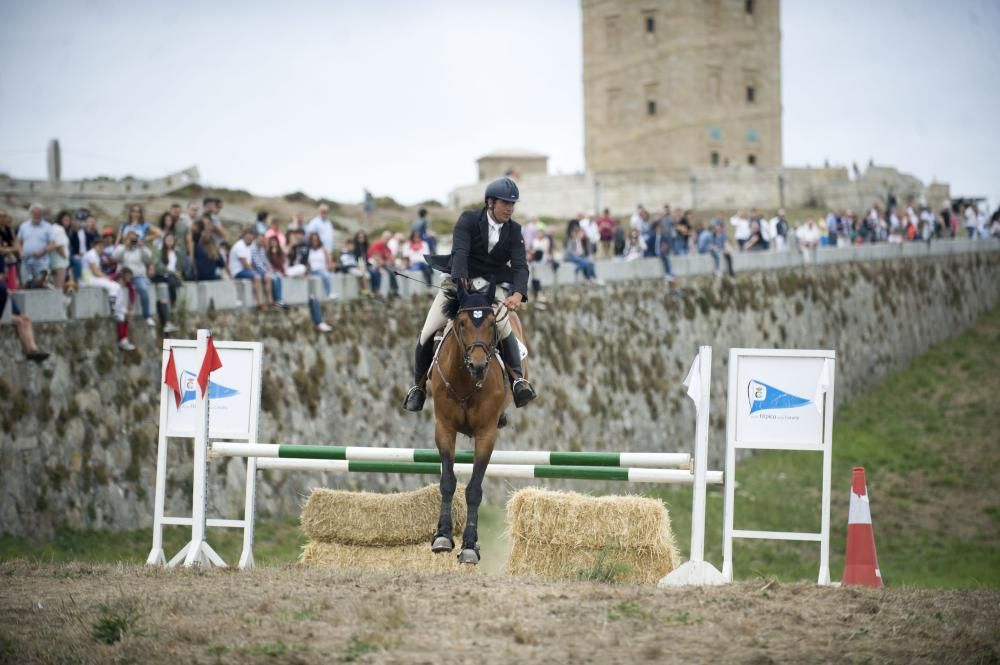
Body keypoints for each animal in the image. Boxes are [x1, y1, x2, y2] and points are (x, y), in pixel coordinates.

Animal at [428, 278, 528, 564]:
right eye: (462, 323)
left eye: (492, 323)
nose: (478, 365)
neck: (465, 380)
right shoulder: (444, 429)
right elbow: (447, 482)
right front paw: (442, 535)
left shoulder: (486, 434)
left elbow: (474, 489)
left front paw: (470, 546)